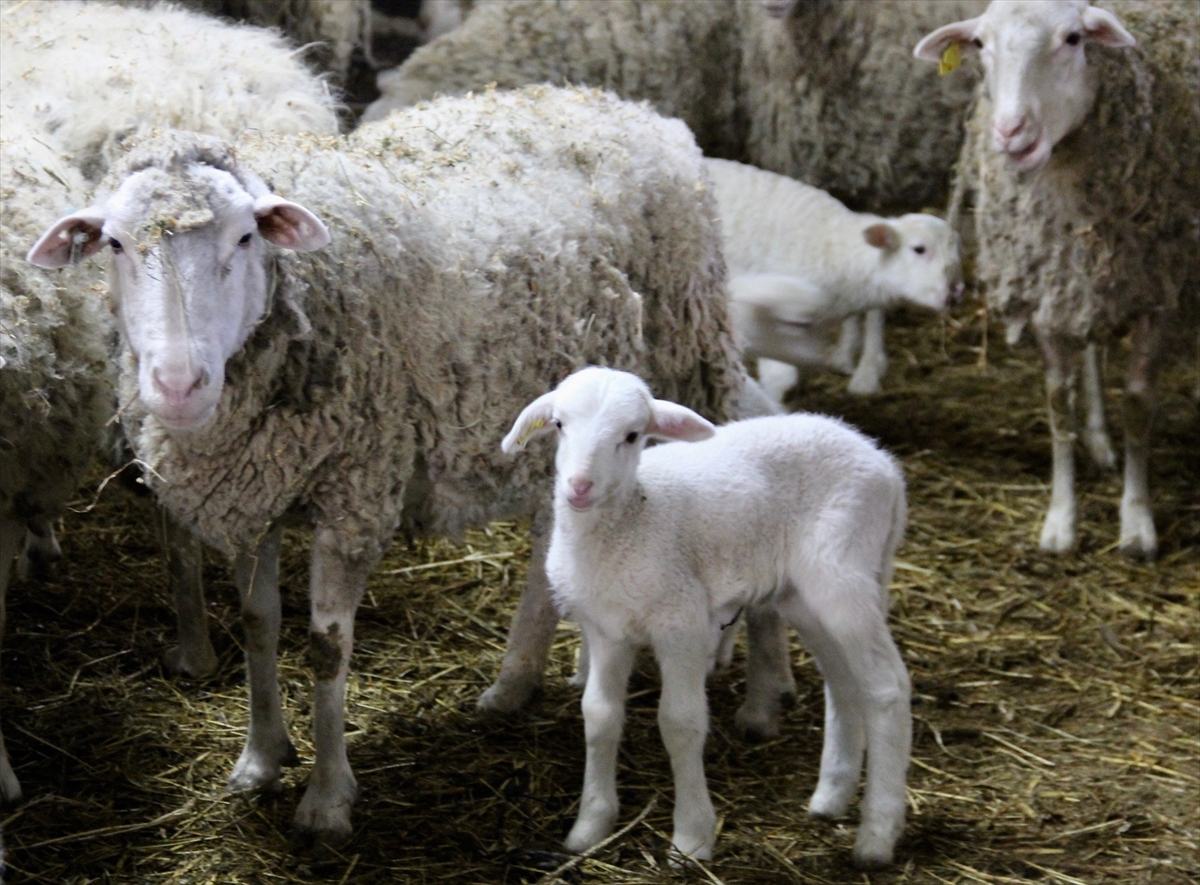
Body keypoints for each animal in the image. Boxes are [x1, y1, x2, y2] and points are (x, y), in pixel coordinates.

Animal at [28, 88, 748, 839]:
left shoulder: (355, 495)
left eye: (246, 238)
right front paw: (260, 756)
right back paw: (518, 680)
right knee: (552, 533)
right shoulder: (258, 492)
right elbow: (258, 625)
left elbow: (326, 650)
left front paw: (326, 799)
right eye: (113, 243)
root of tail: (629, 106)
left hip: (692, 355)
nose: (177, 384)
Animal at [504, 364, 907, 868]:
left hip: (843, 571)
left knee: (887, 686)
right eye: (559, 424)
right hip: (804, 595)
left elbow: (680, 723)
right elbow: (598, 716)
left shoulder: (682, 622)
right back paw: (831, 796)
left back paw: (877, 835)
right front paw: (590, 826)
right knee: (844, 681)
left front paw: (692, 838)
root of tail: (885, 465)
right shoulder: (607, 629)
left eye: (632, 436)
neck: (633, 519)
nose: (579, 487)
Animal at [912, 0, 1195, 554]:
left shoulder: (1158, 291)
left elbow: (1139, 401)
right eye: (980, 44)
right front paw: (1061, 521)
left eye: (1073, 39)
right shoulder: (1046, 284)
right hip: (1083, 278)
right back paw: (1099, 438)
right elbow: (1058, 401)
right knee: (1091, 350)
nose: (1009, 132)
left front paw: (1137, 522)